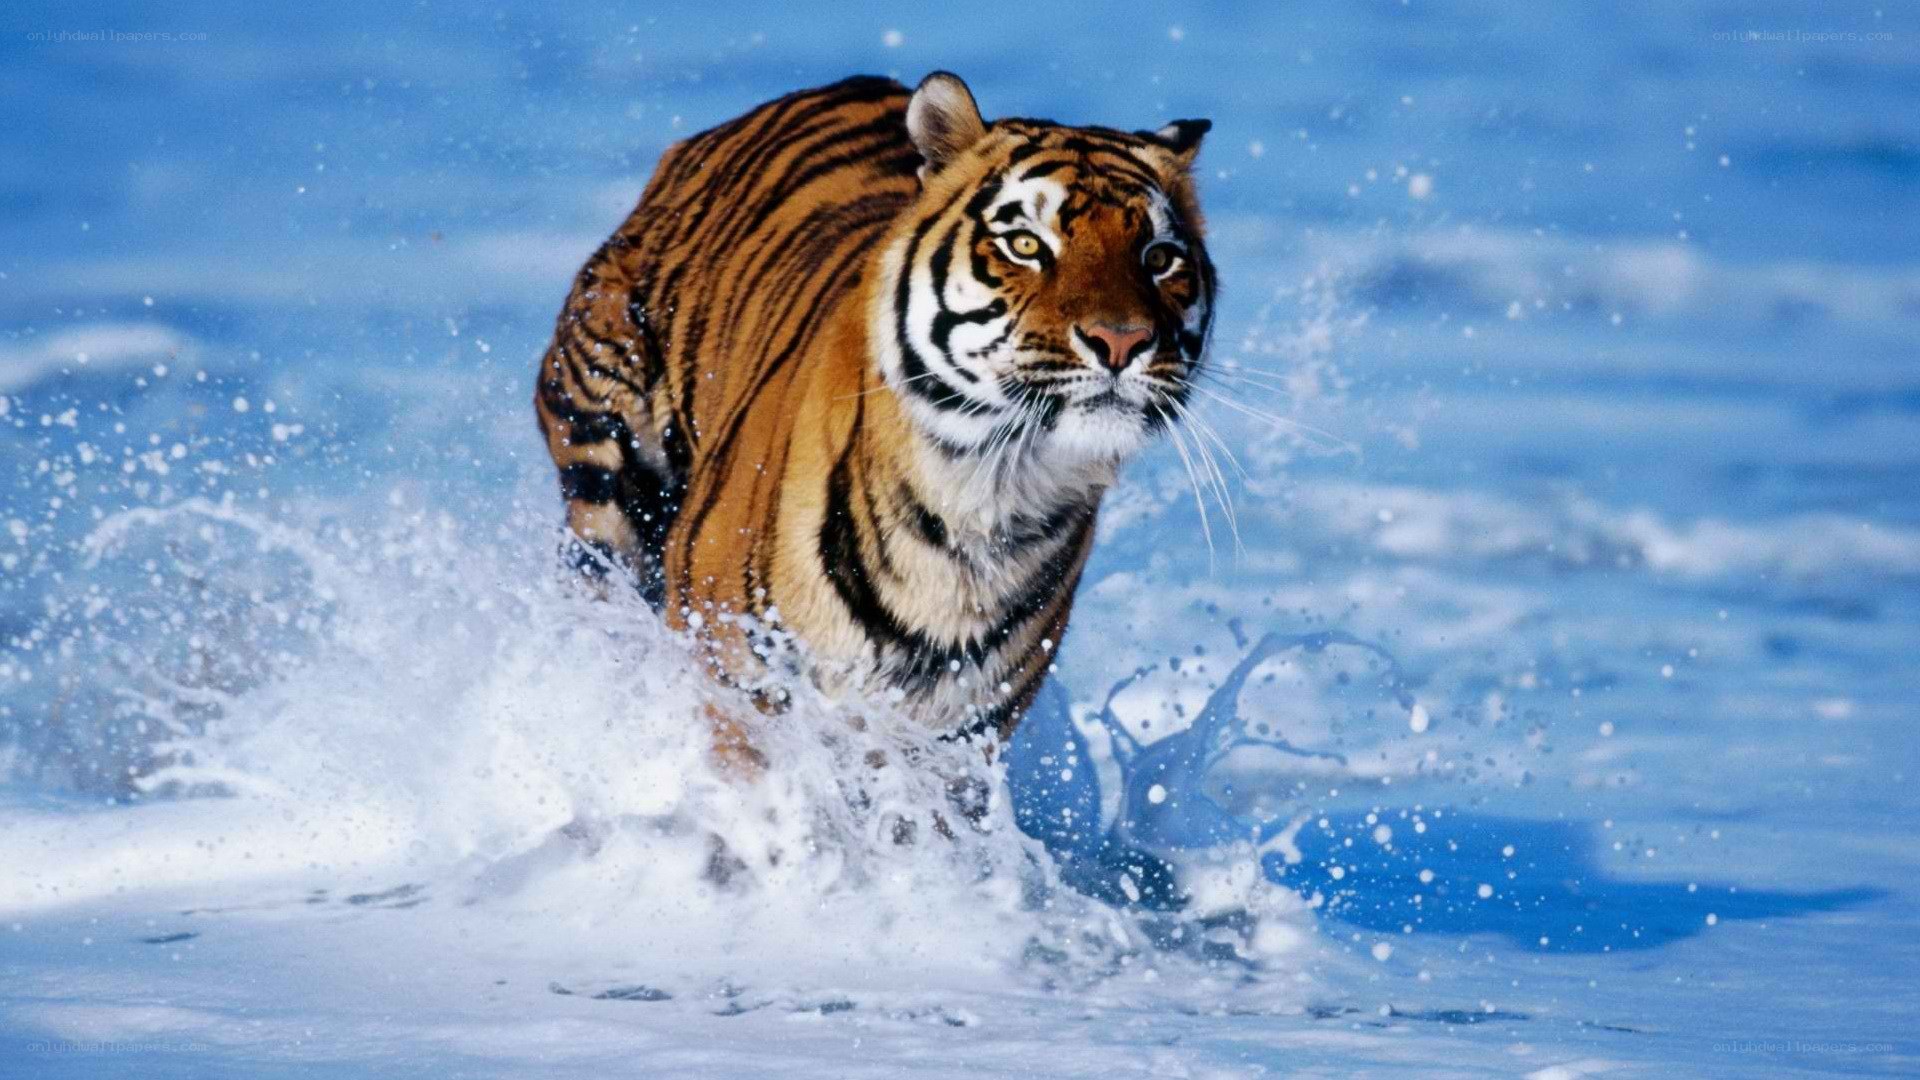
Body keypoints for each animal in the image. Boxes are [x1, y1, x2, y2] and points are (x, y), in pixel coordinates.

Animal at [534, 71, 1214, 757]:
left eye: (1159, 257)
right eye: (1025, 244)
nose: (1122, 341)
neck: (987, 499)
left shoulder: (958, 737)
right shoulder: (737, 680)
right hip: (606, 473)